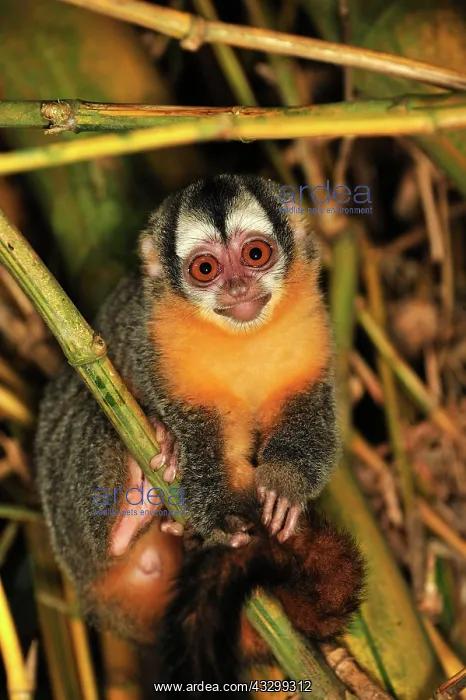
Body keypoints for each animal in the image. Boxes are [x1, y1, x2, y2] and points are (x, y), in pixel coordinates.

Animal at [34, 173, 365, 692]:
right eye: (205, 268)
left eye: (255, 254)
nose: (237, 286)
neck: (241, 337)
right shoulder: (157, 339)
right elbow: (200, 434)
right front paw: (223, 519)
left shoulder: (313, 323)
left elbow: (313, 411)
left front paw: (285, 488)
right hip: (66, 524)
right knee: (92, 409)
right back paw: (135, 505)